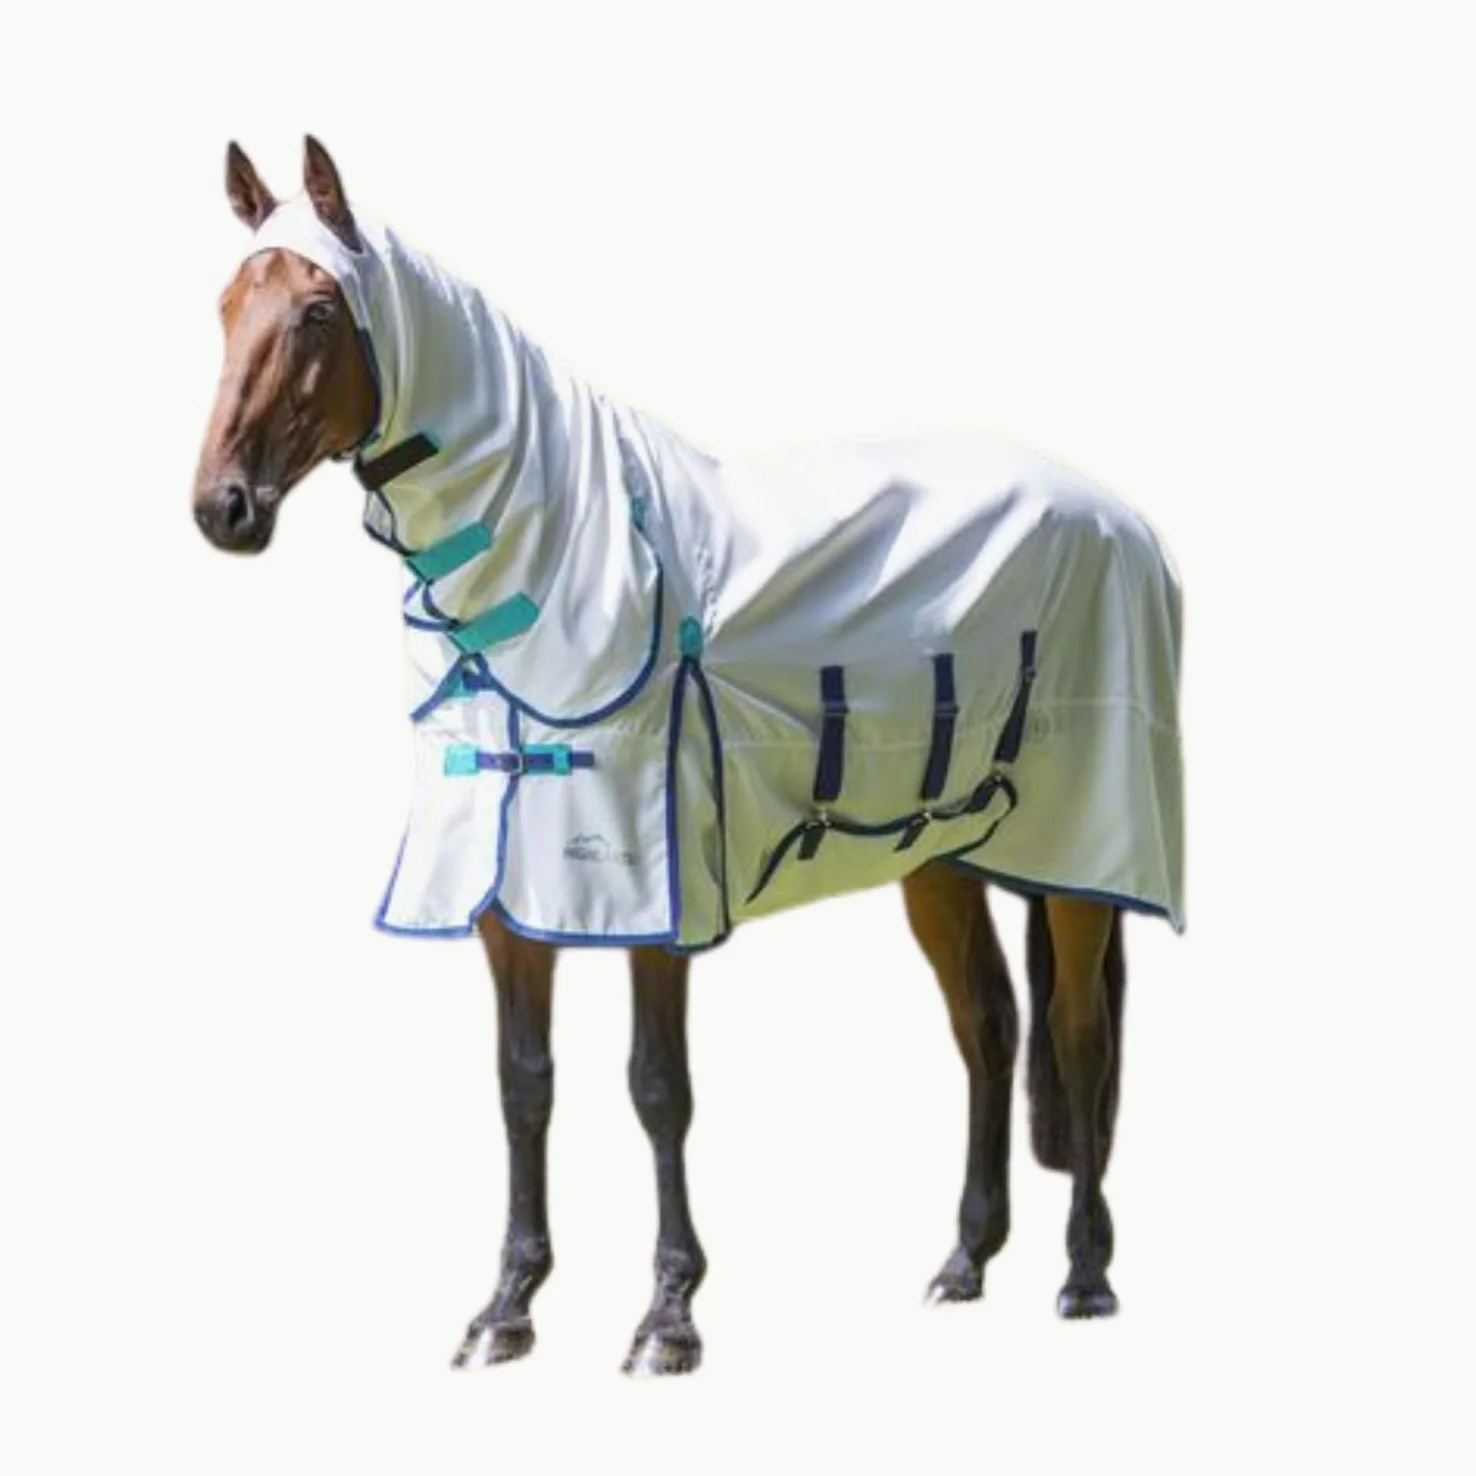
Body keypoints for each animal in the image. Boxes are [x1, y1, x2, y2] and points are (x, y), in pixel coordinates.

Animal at [193, 136, 1182, 1375]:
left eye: (319, 311)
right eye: (226, 306)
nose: (221, 508)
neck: (564, 561)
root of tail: (1120, 519)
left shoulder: (652, 892)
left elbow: (658, 1088)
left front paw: (668, 1317)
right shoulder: (509, 899)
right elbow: (525, 1086)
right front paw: (506, 1308)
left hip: (1081, 860)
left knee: (1081, 1038)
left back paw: (1085, 1277)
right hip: (940, 861)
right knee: (990, 1031)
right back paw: (965, 1261)